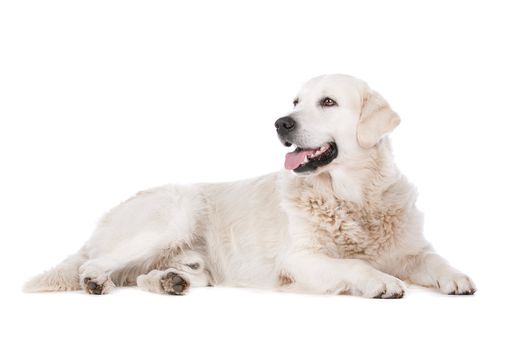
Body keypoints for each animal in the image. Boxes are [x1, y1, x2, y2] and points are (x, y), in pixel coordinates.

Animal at [24, 74, 474, 298]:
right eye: (295, 102)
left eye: (328, 102)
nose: (281, 123)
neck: (352, 195)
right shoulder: (299, 258)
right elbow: (353, 264)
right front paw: (381, 281)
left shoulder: (409, 249)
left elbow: (433, 259)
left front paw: (456, 277)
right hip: (174, 211)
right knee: (93, 264)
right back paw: (96, 281)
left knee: (145, 276)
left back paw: (170, 281)